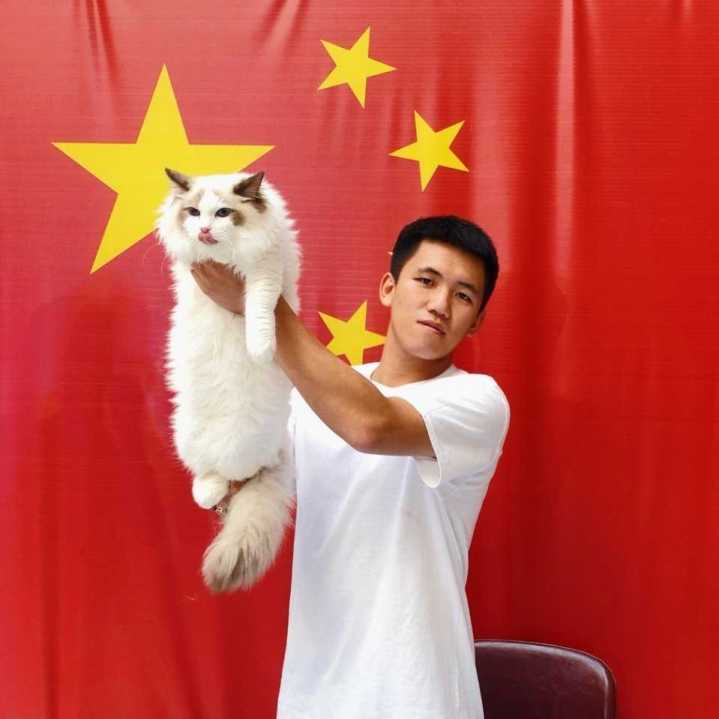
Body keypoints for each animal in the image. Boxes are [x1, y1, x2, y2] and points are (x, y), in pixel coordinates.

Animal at [154, 168, 301, 592]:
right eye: (192, 212)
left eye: (222, 213)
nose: (204, 230)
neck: (225, 259)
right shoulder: (191, 270)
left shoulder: (266, 273)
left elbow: (259, 312)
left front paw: (261, 350)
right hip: (186, 434)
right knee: (209, 477)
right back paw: (206, 492)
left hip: (246, 447)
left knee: (237, 477)